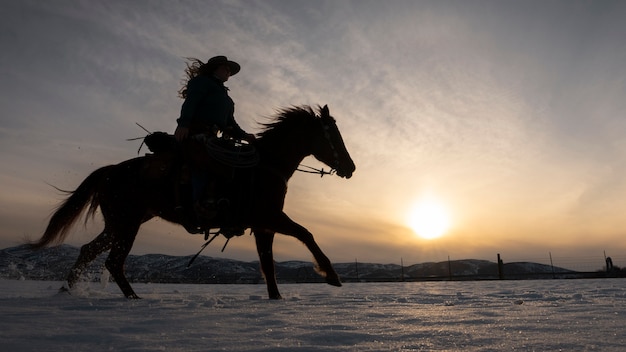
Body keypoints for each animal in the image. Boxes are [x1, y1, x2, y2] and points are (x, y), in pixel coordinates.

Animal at [28, 105, 356, 300]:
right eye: (333, 136)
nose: (350, 167)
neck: (265, 166)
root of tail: (110, 171)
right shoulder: (270, 217)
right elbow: (306, 234)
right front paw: (332, 275)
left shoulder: (264, 226)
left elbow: (268, 265)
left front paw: (276, 298)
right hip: (127, 224)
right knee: (113, 261)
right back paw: (133, 297)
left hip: (120, 223)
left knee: (88, 250)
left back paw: (66, 289)